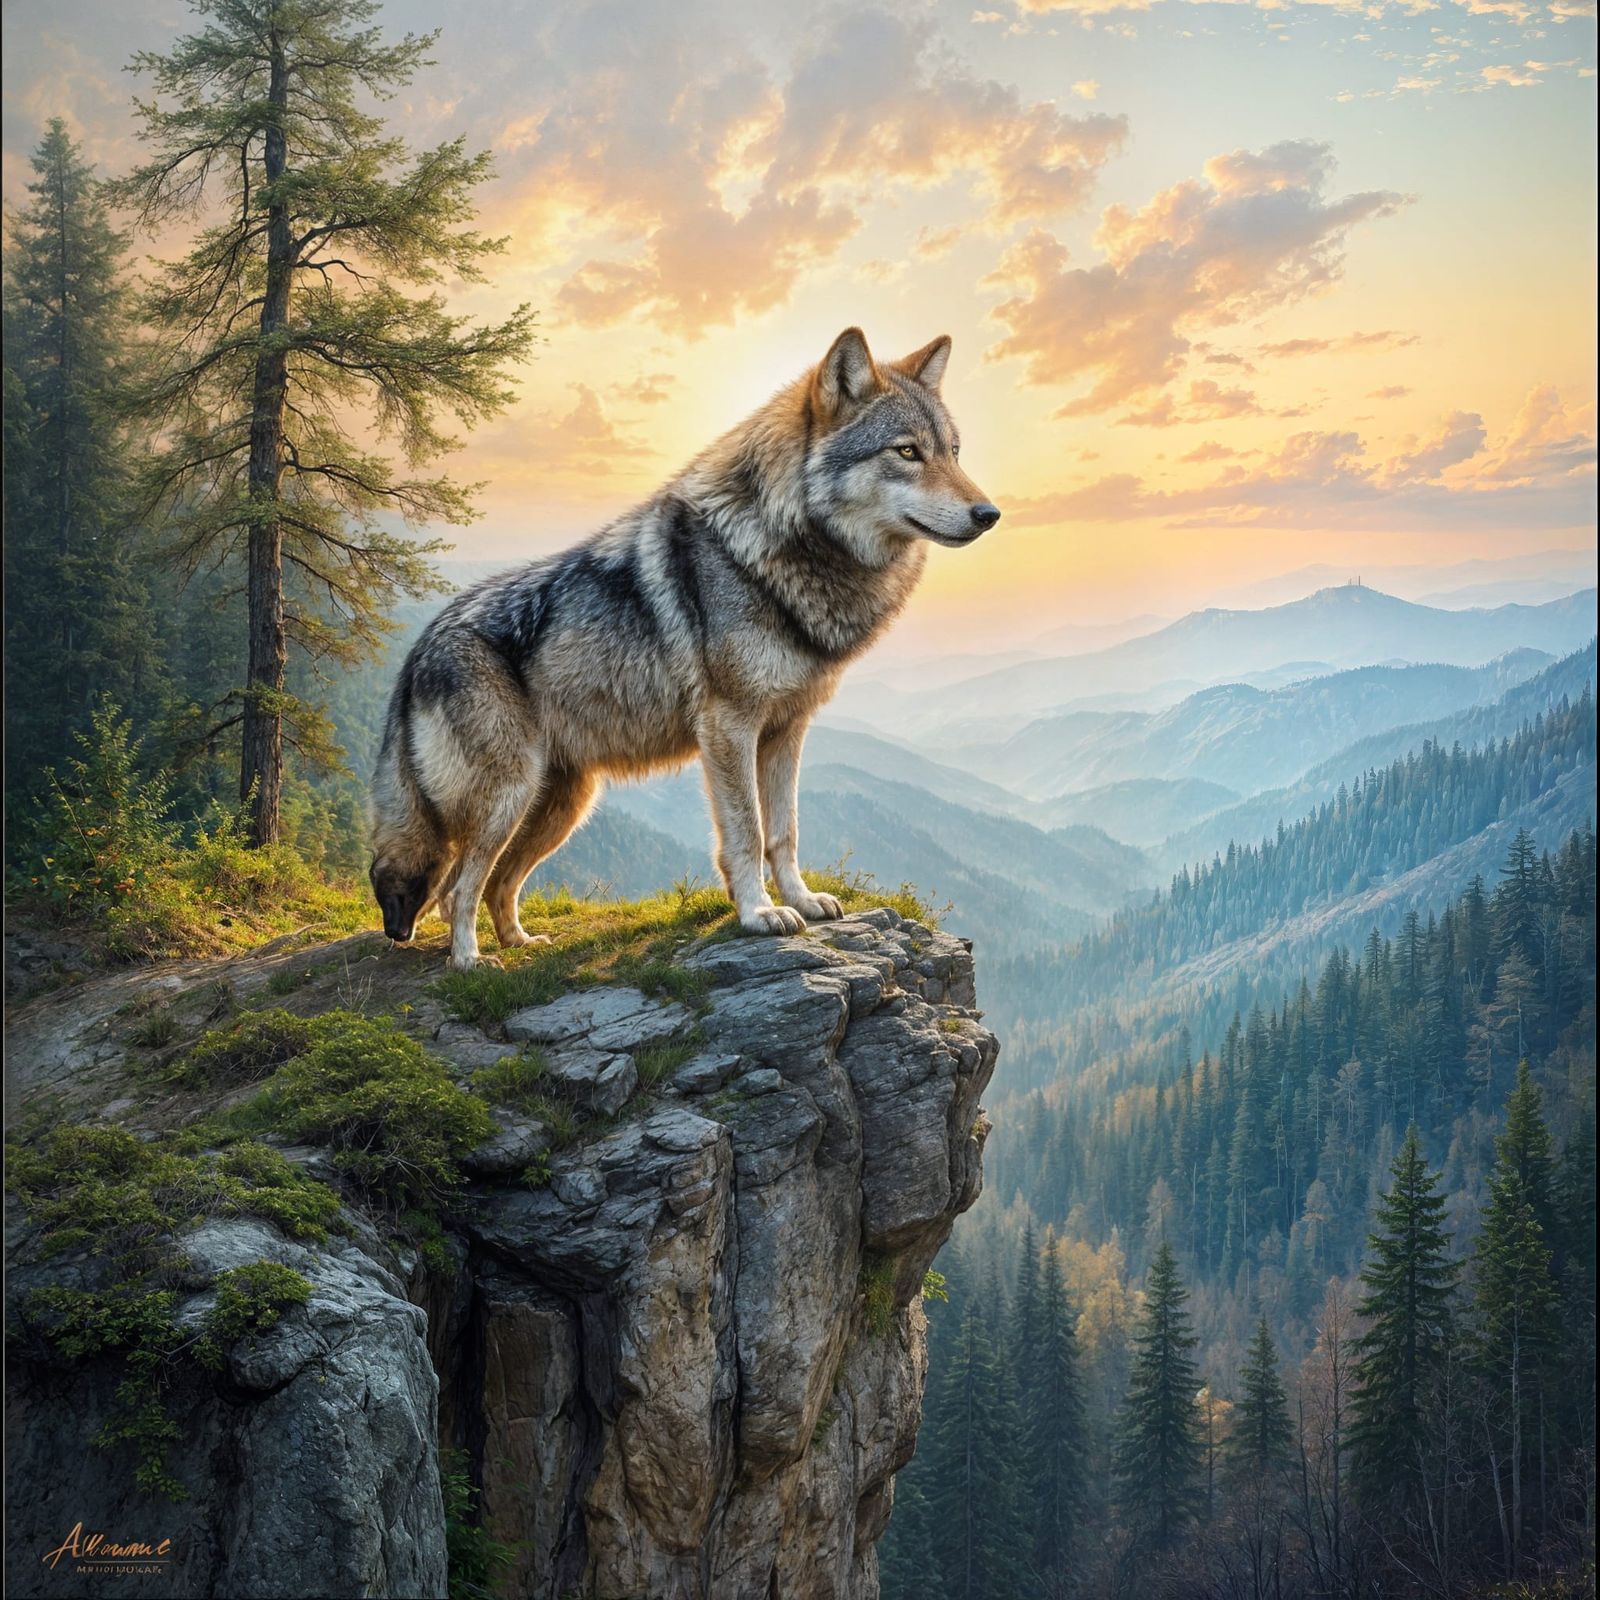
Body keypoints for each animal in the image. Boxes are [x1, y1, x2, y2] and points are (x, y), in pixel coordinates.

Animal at [369, 327, 1000, 970]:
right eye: (907, 452)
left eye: (953, 451)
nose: (990, 514)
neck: (779, 549)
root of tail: (418, 650)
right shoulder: (729, 727)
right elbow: (747, 832)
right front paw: (759, 913)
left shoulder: (786, 730)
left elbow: (785, 831)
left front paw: (802, 899)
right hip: (508, 798)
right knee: (458, 885)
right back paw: (471, 963)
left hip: (562, 806)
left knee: (496, 881)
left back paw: (521, 942)